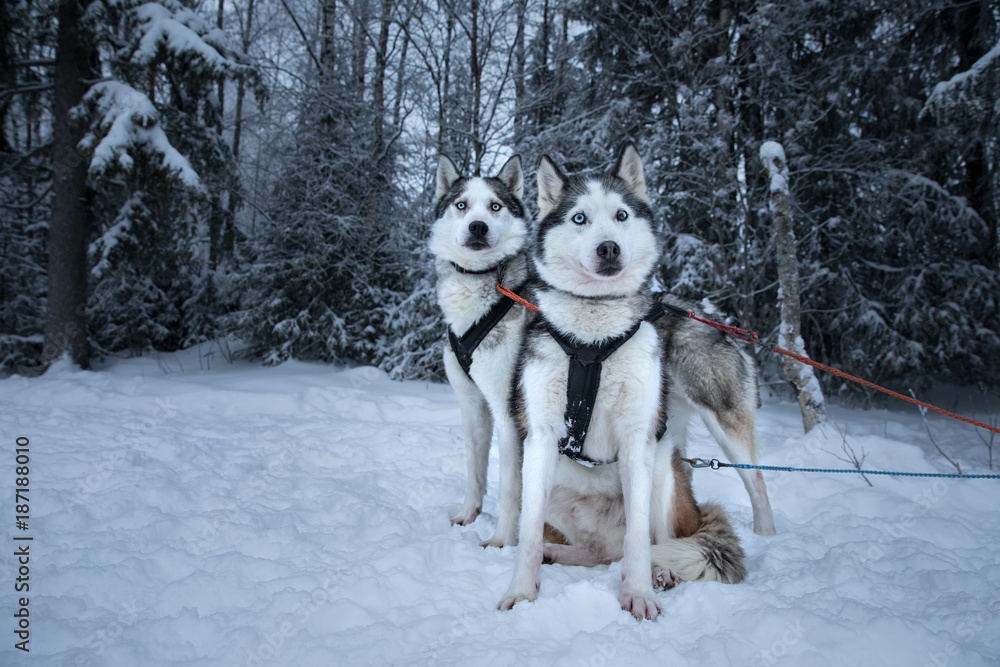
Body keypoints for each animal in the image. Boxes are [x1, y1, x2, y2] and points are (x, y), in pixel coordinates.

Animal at [434, 155, 536, 548]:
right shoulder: (472, 406)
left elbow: (510, 487)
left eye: (495, 206)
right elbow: (475, 471)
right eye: (462, 206)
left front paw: (502, 541)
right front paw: (468, 515)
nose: (477, 227)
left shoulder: (510, 414)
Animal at [500, 142, 744, 620]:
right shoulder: (539, 437)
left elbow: (637, 542)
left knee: (648, 542)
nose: (609, 248)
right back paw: (560, 554)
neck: (592, 341)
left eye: (621, 215)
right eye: (580, 218)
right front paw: (522, 591)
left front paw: (639, 594)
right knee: (600, 552)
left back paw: (661, 573)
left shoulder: (637, 437)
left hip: (664, 474)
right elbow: (529, 532)